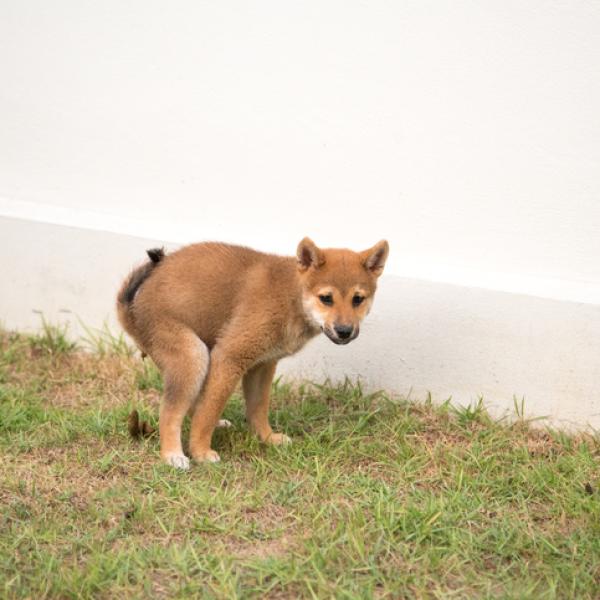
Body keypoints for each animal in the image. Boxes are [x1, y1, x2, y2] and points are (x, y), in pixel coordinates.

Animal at [117, 236, 390, 468]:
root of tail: (132, 309)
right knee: (170, 412)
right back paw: (173, 455)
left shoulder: (263, 364)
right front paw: (200, 452)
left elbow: (258, 409)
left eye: (357, 299)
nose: (344, 331)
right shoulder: (230, 357)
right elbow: (208, 412)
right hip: (193, 356)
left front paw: (268, 439)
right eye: (326, 298)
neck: (291, 296)